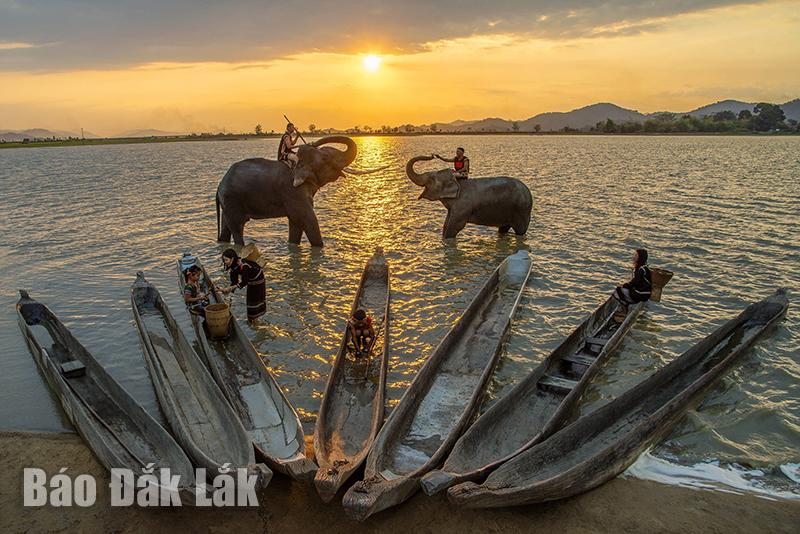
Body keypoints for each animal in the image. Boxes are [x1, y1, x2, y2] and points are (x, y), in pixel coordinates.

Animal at [216, 137, 378, 248]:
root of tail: (219, 186)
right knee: (237, 227)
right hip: (232, 200)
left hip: (228, 203)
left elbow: (295, 224)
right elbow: (307, 219)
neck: (298, 164)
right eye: (326, 157)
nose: (311, 142)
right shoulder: (293, 192)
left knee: (226, 228)